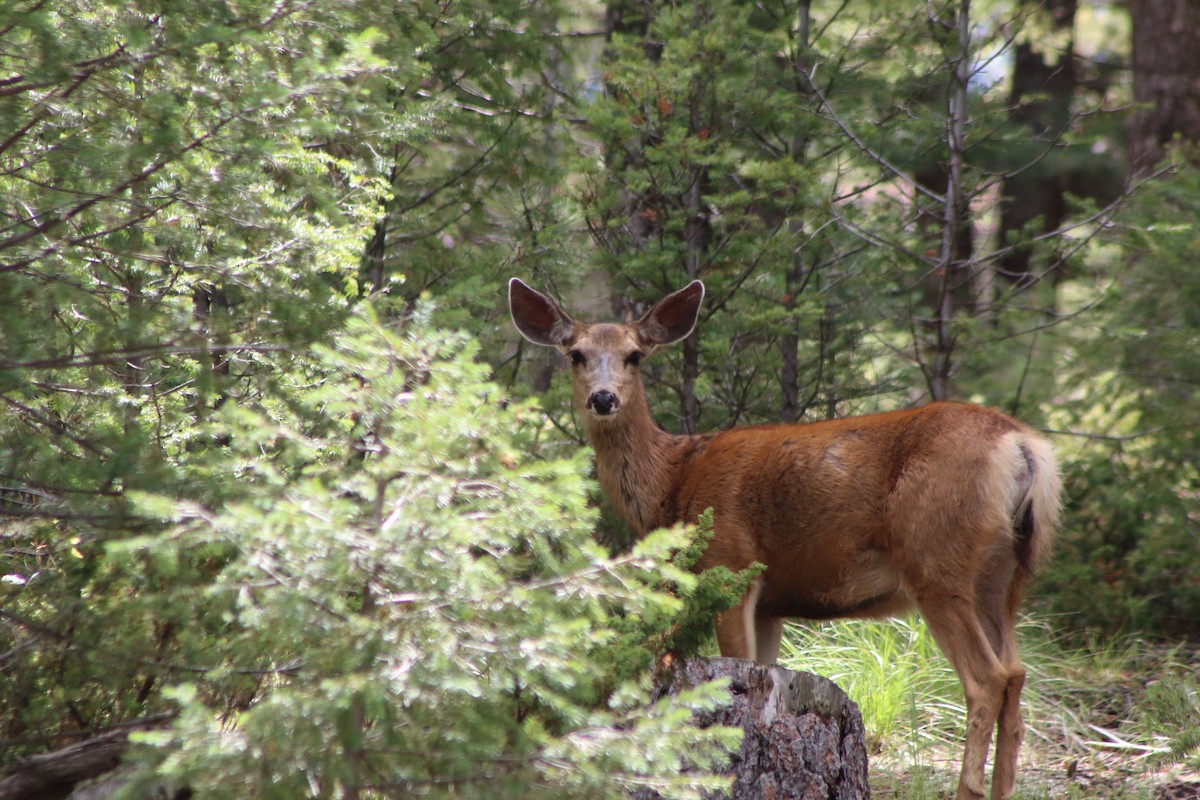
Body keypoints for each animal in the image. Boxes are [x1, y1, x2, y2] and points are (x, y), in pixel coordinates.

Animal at [508, 278, 1061, 800]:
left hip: (936, 558)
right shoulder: (772, 604)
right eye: (575, 353)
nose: (603, 398)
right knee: (1016, 673)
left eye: (635, 355)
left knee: (988, 679)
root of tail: (1021, 445)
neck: (673, 482)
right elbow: (764, 666)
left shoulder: (730, 565)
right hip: (1008, 576)